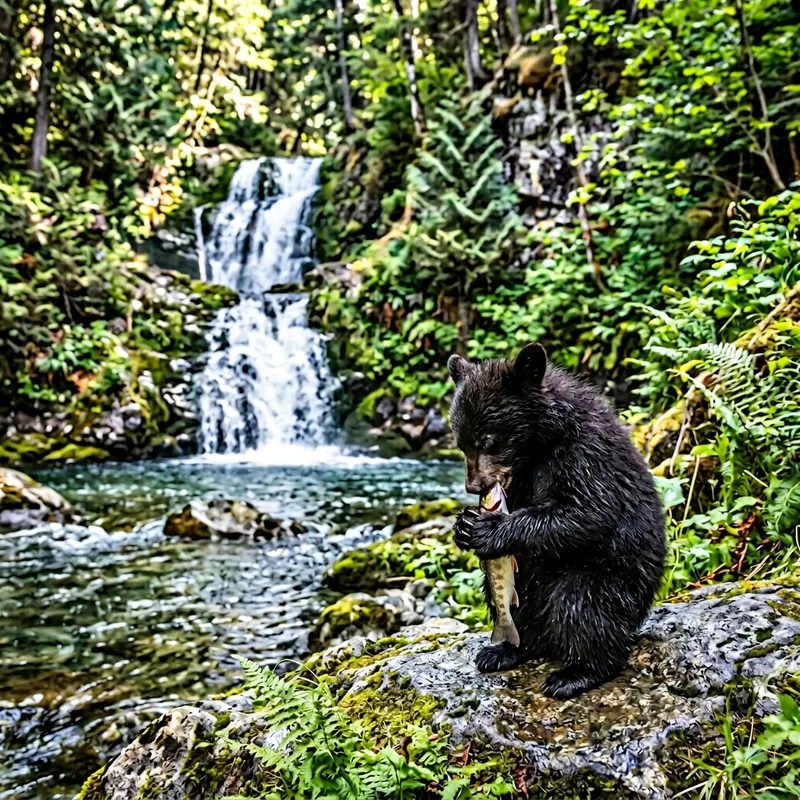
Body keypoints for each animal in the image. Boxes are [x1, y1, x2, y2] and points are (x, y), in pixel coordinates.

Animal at [448, 343, 666, 699]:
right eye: (460, 442)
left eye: (489, 440)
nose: (474, 486)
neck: (544, 442)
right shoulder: (521, 476)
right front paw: (463, 526)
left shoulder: (584, 454)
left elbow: (587, 512)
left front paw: (488, 528)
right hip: (527, 583)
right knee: (516, 602)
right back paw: (505, 650)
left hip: (612, 582)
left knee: (580, 606)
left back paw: (575, 674)